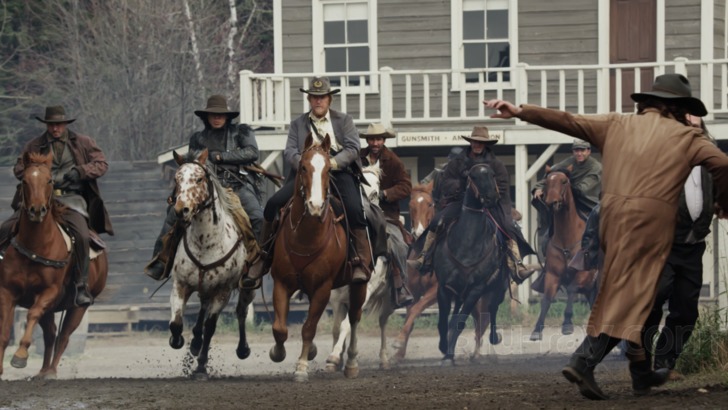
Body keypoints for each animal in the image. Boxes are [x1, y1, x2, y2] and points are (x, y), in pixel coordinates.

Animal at [0, 152, 108, 380]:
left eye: (49, 180)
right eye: (25, 180)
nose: (37, 210)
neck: (36, 245)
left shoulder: (48, 292)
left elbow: (32, 315)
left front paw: (20, 356)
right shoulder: (7, 292)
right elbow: (4, 332)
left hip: (78, 307)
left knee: (64, 336)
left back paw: (50, 371)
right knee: (50, 335)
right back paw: (42, 371)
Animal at [268, 134, 370, 382]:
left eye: (328, 170)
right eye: (303, 167)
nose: (315, 206)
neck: (305, 237)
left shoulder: (323, 289)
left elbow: (309, 328)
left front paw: (302, 366)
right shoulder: (281, 283)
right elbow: (280, 327)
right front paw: (278, 352)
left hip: (359, 285)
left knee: (354, 318)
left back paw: (351, 363)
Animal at [528, 165, 596, 342]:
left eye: (564, 181)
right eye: (546, 182)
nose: (552, 203)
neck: (567, 239)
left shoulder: (583, 274)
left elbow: (571, 290)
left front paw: (567, 323)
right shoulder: (553, 275)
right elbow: (546, 299)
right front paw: (537, 329)